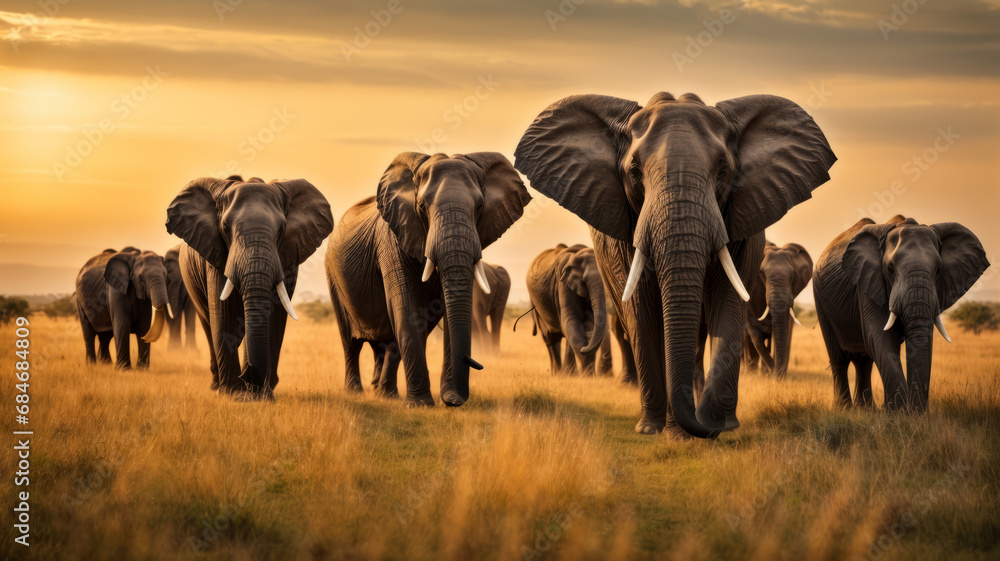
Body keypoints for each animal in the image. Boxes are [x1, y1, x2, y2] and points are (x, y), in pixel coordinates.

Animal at [166, 176, 333, 399]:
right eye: (225, 227)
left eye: (282, 229)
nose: (248, 377)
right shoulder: (216, 253)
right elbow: (223, 314)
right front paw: (233, 395)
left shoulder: (287, 257)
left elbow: (274, 317)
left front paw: (261, 396)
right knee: (208, 324)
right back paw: (217, 385)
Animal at [325, 151, 531, 406]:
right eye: (422, 206)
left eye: (480, 206)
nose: (456, 400)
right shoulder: (393, 240)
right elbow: (407, 311)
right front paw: (421, 404)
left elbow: (439, 313)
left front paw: (444, 399)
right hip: (333, 275)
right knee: (350, 342)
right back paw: (357, 392)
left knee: (383, 342)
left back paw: (384, 393)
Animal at [526, 244, 608, 376]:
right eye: (584, 281)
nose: (585, 347)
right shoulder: (562, 283)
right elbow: (571, 321)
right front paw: (580, 375)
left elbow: (589, 323)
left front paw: (588, 375)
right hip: (536, 304)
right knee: (549, 338)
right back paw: (557, 374)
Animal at [743, 241, 813, 377]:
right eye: (761, 273)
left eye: (793, 274)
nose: (777, 375)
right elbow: (753, 331)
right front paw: (772, 373)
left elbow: (784, 329)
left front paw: (775, 375)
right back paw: (750, 372)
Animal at [813, 216, 988, 412]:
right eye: (890, 269)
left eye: (938, 270)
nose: (918, 412)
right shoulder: (868, 282)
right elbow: (880, 336)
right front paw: (898, 412)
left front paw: (903, 412)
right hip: (820, 299)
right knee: (839, 357)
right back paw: (844, 409)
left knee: (863, 361)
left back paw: (866, 409)